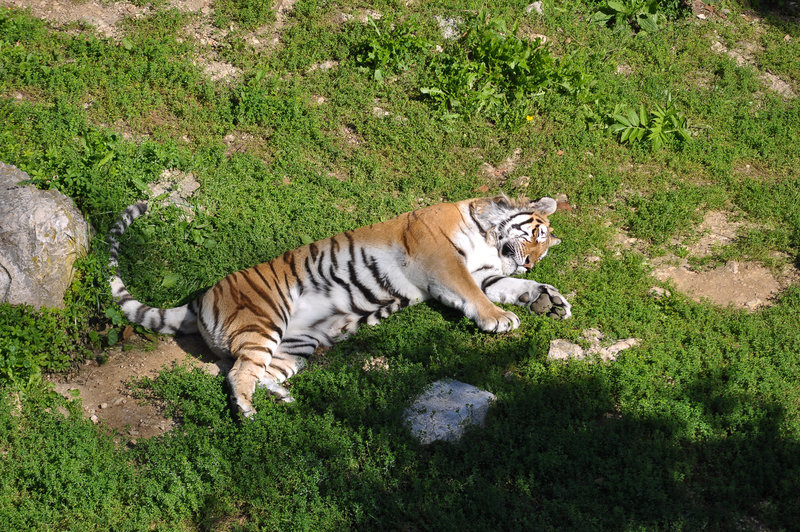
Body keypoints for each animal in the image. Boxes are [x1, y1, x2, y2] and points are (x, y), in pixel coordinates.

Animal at [108, 195, 568, 416]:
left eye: (543, 252)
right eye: (536, 234)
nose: (529, 260)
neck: (489, 239)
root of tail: (198, 298)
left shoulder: (489, 273)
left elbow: (512, 286)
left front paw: (549, 300)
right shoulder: (442, 258)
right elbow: (474, 294)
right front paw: (500, 319)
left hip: (295, 345)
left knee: (255, 371)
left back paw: (282, 399)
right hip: (265, 321)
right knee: (236, 374)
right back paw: (246, 412)